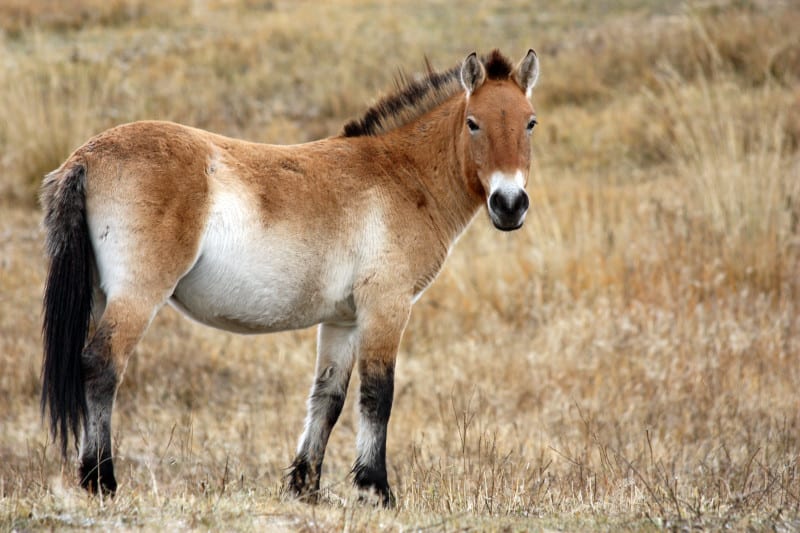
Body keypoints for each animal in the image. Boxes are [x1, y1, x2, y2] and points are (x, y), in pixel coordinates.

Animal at [43, 50, 540, 508]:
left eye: (530, 123)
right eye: (474, 123)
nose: (510, 204)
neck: (402, 175)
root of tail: (86, 156)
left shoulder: (343, 321)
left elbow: (328, 398)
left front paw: (305, 488)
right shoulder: (386, 307)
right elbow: (377, 395)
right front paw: (376, 490)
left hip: (99, 295)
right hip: (138, 296)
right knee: (102, 365)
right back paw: (101, 481)